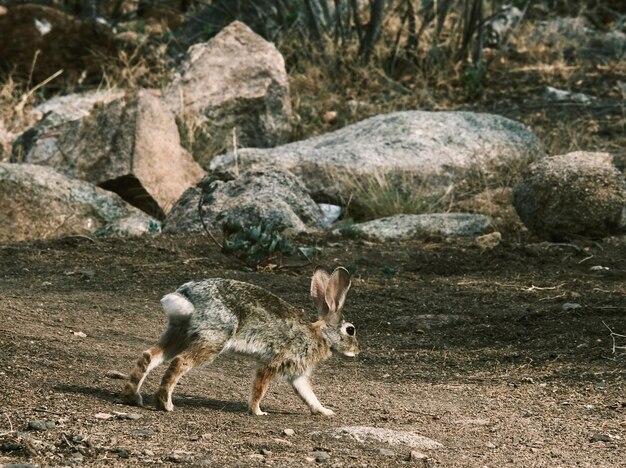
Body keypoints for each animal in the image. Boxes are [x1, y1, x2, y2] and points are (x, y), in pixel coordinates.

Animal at [122, 266, 356, 416]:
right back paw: (165, 405)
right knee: (180, 362)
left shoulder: (297, 373)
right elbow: (260, 387)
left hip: (179, 334)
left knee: (149, 356)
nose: (358, 351)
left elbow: (308, 394)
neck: (321, 334)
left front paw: (325, 412)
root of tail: (187, 296)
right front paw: (258, 411)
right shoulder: (273, 363)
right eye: (351, 330)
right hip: (214, 338)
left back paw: (133, 398)